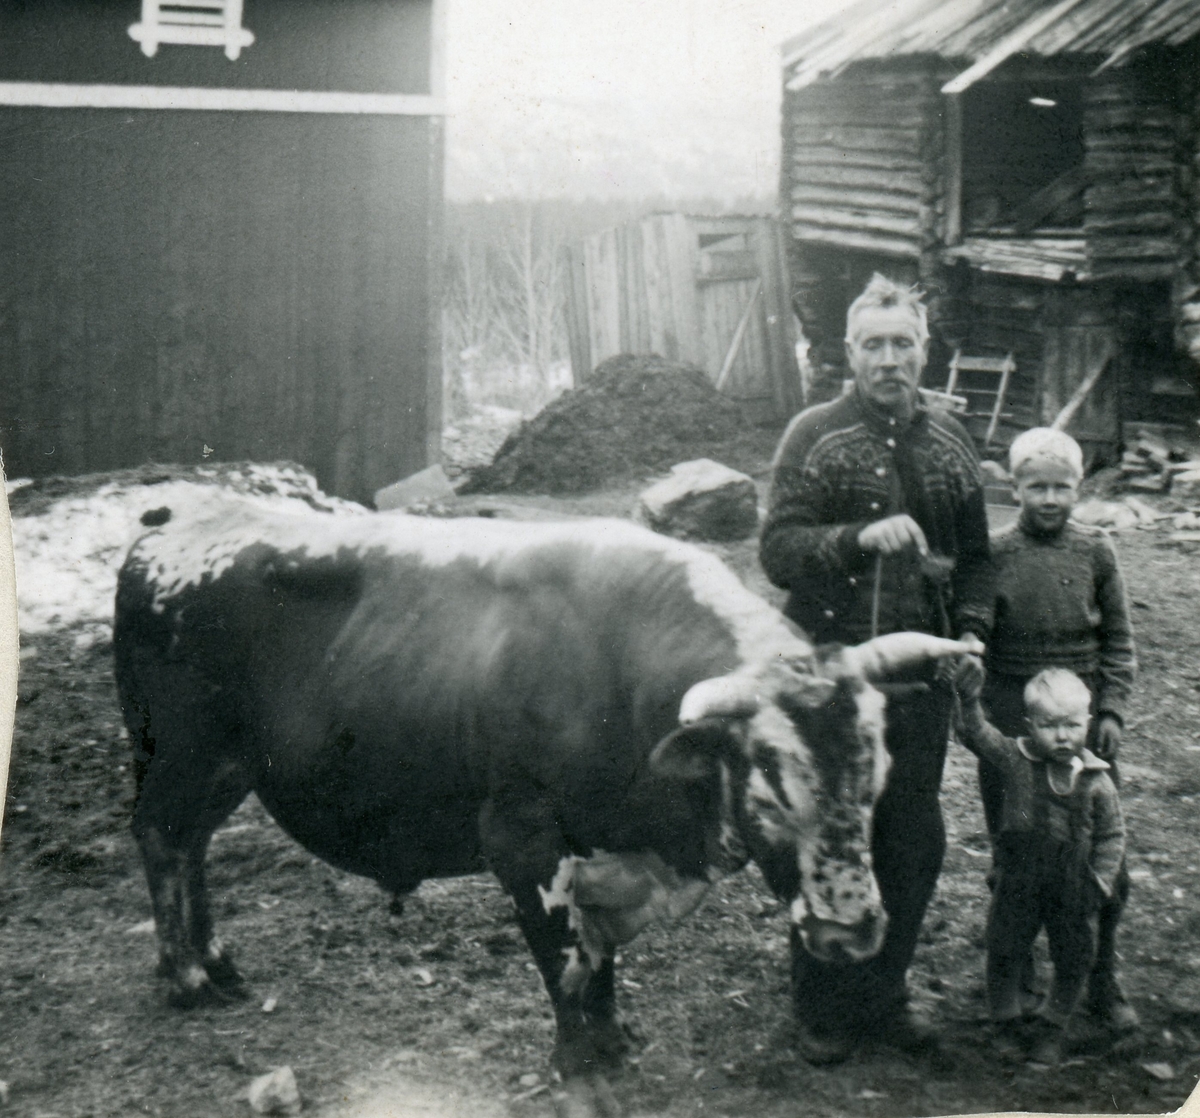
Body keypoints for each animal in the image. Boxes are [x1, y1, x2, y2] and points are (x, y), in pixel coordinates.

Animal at [114, 499, 974, 1118]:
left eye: (873, 777)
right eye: (769, 788)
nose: (851, 932)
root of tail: (170, 530)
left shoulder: (603, 848)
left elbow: (600, 957)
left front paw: (615, 1038)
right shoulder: (523, 840)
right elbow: (565, 963)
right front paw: (582, 1072)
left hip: (227, 770)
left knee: (193, 846)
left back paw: (218, 960)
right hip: (182, 757)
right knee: (162, 839)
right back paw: (184, 975)